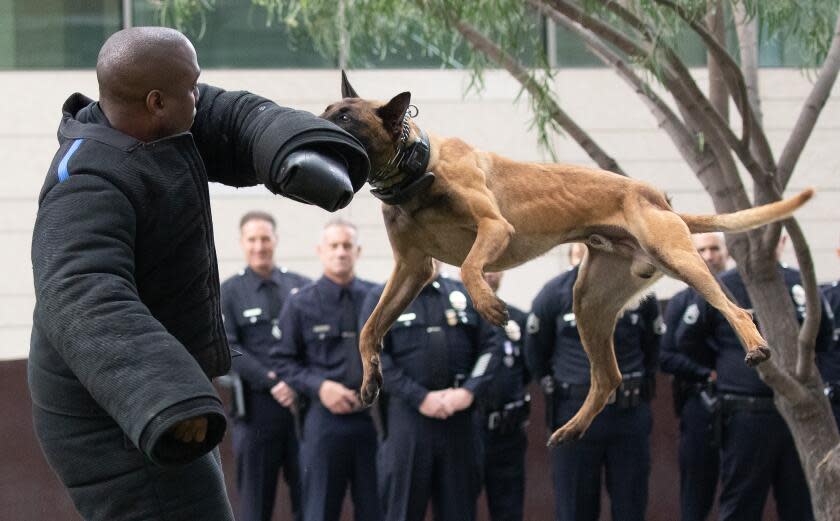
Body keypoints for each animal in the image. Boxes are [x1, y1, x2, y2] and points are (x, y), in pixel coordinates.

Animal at [322, 72, 812, 446]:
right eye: (328, 110)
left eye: (345, 117)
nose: (313, 124)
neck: (416, 167)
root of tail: (659, 198)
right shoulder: (412, 269)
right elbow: (369, 329)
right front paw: (369, 378)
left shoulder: (494, 228)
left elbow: (469, 266)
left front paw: (488, 304)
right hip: (590, 300)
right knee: (609, 377)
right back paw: (572, 429)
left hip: (679, 259)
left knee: (735, 308)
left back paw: (754, 343)